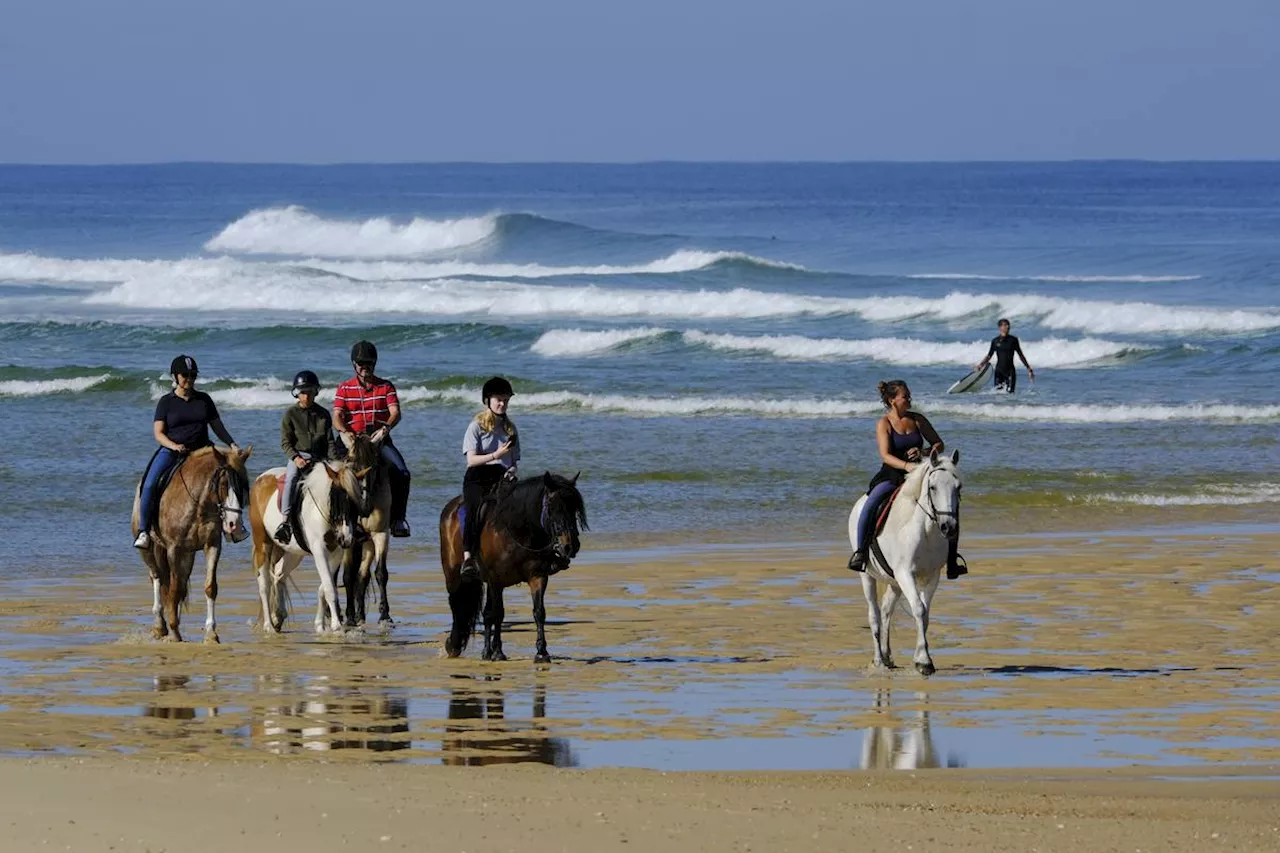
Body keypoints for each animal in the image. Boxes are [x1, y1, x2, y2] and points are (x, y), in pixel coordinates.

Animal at [129, 445, 252, 637]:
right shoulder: (174, 548)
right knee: (156, 576)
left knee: (179, 583)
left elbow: (209, 587)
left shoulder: (212, 545)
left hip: (188, 555)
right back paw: (160, 624)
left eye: (243, 487)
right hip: (148, 550)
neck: (199, 504)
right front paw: (173, 630)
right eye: (224, 484)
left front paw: (210, 633)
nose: (234, 524)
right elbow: (173, 588)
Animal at [247, 458, 366, 630]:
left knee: (279, 574)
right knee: (264, 585)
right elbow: (329, 588)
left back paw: (278, 617)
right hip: (262, 544)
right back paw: (268, 625)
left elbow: (324, 587)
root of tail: (260, 479)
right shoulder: (319, 551)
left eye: (356, 503)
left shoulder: (336, 553)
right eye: (336, 499)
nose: (346, 538)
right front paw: (336, 626)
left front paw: (320, 626)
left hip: (294, 553)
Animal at [340, 432, 394, 625]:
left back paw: (361, 615)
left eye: (374, 465)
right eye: (351, 462)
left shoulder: (380, 534)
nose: (364, 504)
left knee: (363, 575)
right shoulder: (349, 539)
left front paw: (385, 615)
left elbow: (380, 573)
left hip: (368, 542)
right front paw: (349, 616)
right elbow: (348, 575)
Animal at [435, 468, 586, 660]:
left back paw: (485, 651)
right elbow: (498, 613)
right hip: (454, 574)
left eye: (574, 508)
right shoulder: (496, 580)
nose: (570, 546)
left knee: (485, 613)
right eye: (552, 507)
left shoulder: (537, 576)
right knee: (458, 605)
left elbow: (539, 612)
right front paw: (499, 652)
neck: (516, 530)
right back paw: (456, 646)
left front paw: (541, 652)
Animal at [849, 448, 962, 676]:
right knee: (874, 615)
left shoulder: (931, 576)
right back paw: (879, 660)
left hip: (894, 582)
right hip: (867, 576)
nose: (949, 527)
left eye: (958, 487)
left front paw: (921, 658)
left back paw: (887, 656)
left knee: (886, 610)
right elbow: (918, 609)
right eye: (933, 487)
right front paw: (924, 662)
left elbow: (925, 614)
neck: (925, 531)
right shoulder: (905, 574)